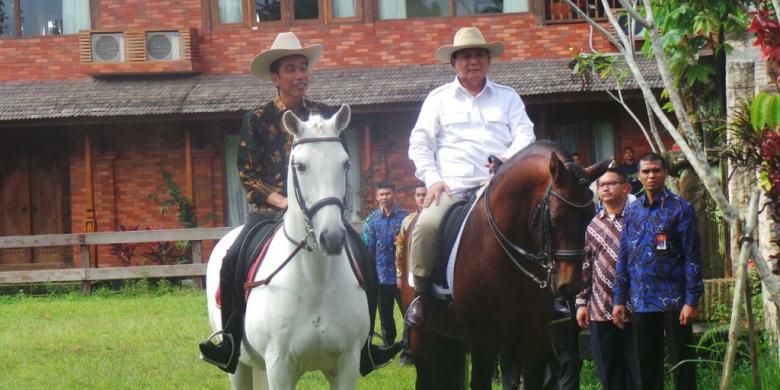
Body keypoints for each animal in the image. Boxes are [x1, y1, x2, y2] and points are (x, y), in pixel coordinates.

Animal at [204, 104, 368, 390]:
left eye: (346, 163)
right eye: (300, 166)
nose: (332, 238)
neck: (315, 280)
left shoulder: (347, 364)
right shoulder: (279, 367)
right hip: (240, 367)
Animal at [396, 141, 608, 390]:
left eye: (589, 217)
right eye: (555, 217)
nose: (571, 286)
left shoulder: (534, 341)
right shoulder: (483, 341)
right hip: (423, 340)